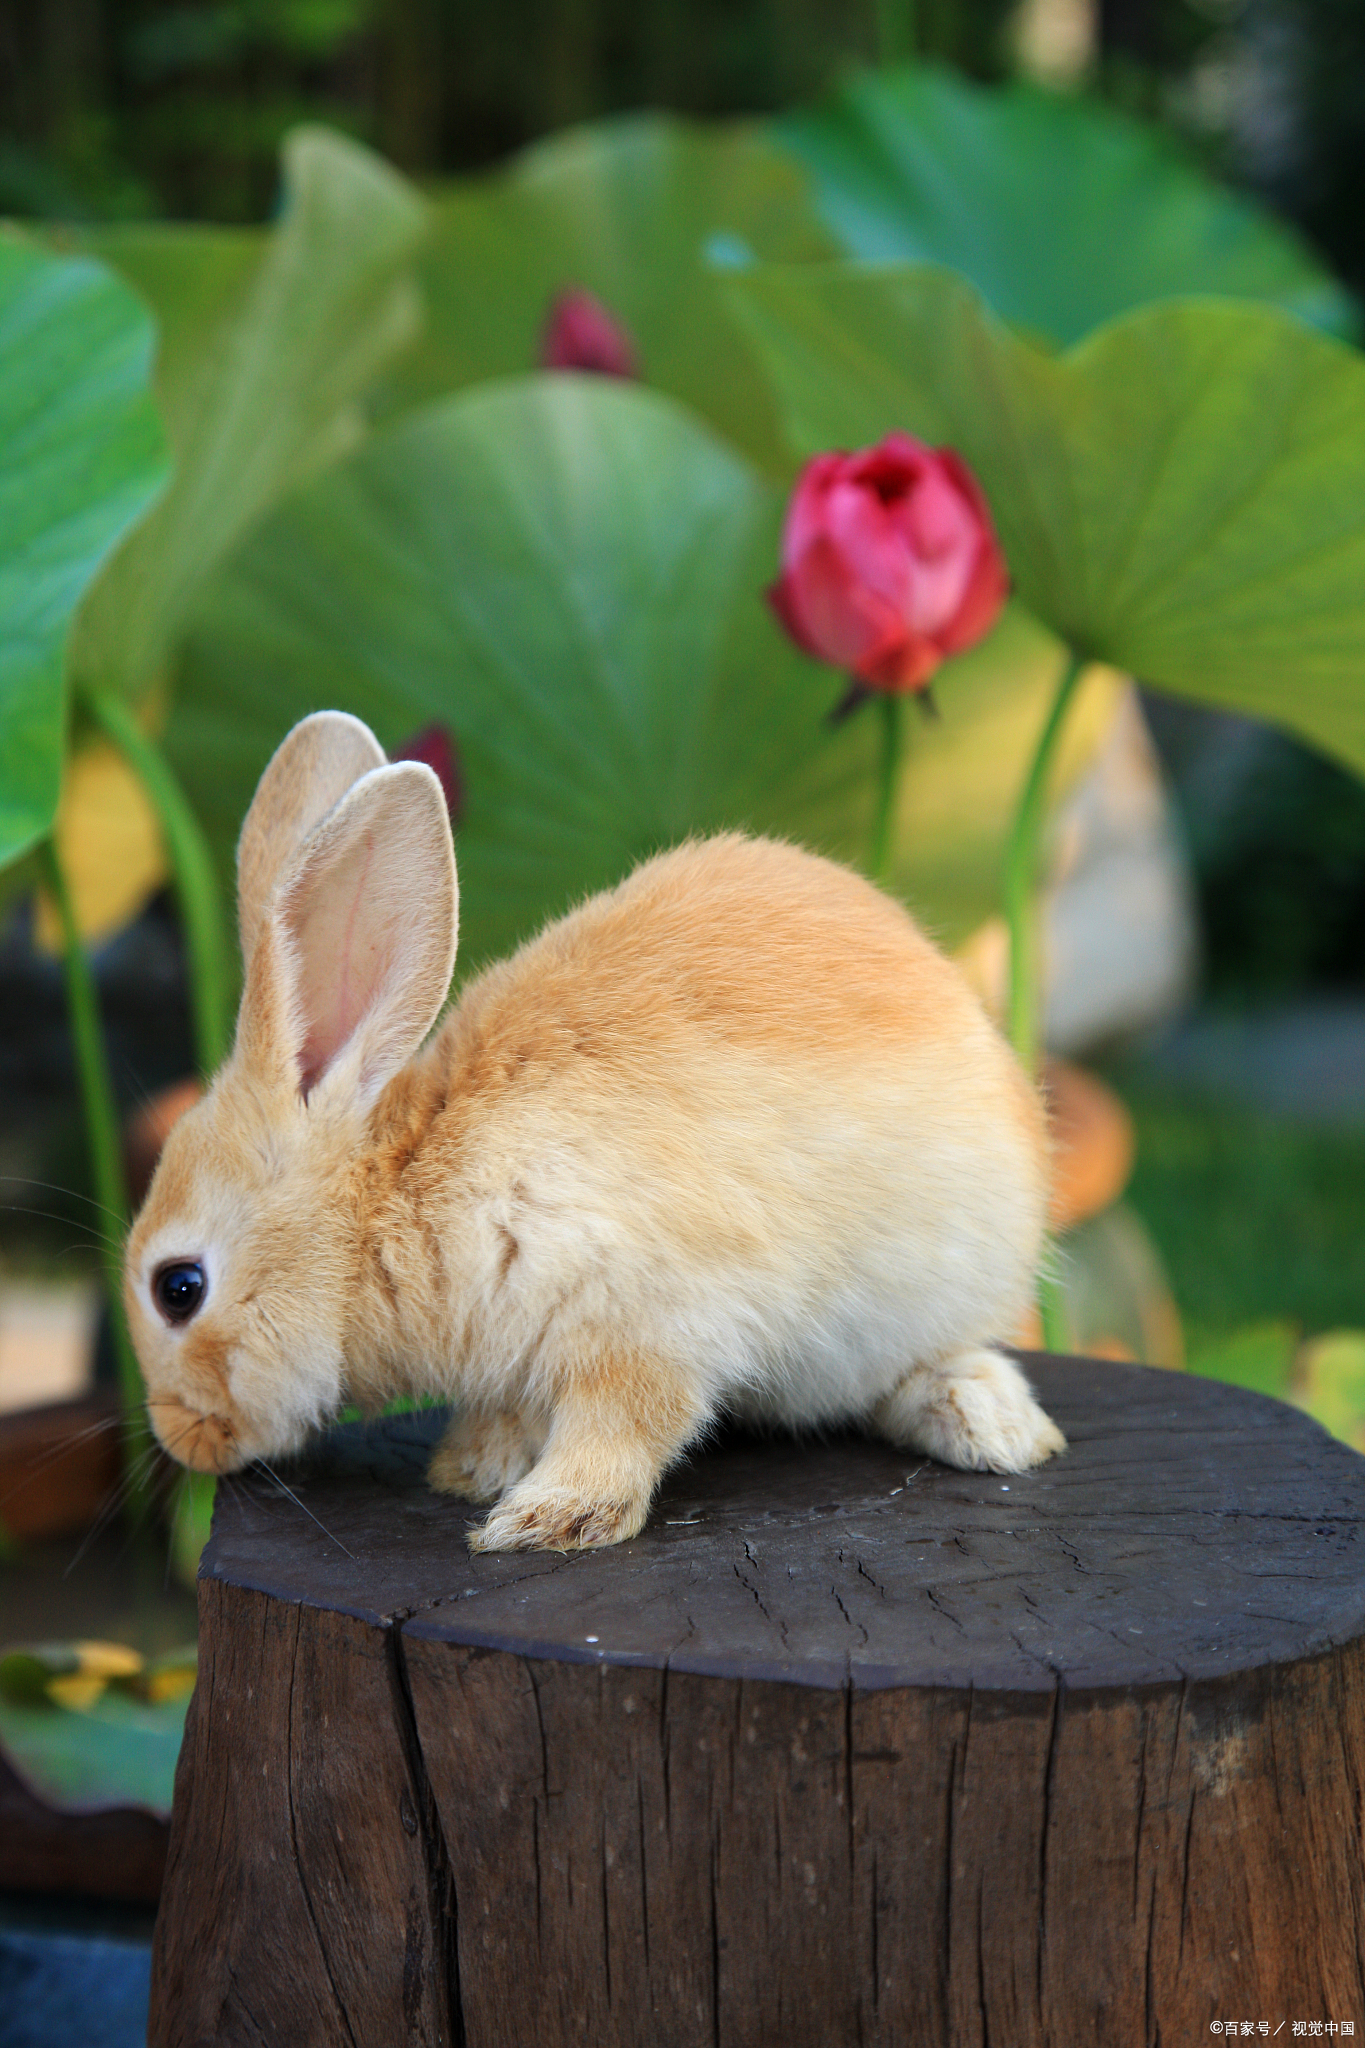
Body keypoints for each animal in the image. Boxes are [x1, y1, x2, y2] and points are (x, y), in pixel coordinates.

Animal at [125, 712, 1064, 1540]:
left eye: (179, 1288)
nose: (184, 1437)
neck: (385, 1204)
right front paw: (472, 1469)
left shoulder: (644, 1317)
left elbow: (625, 1424)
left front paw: (547, 1519)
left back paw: (988, 1423)